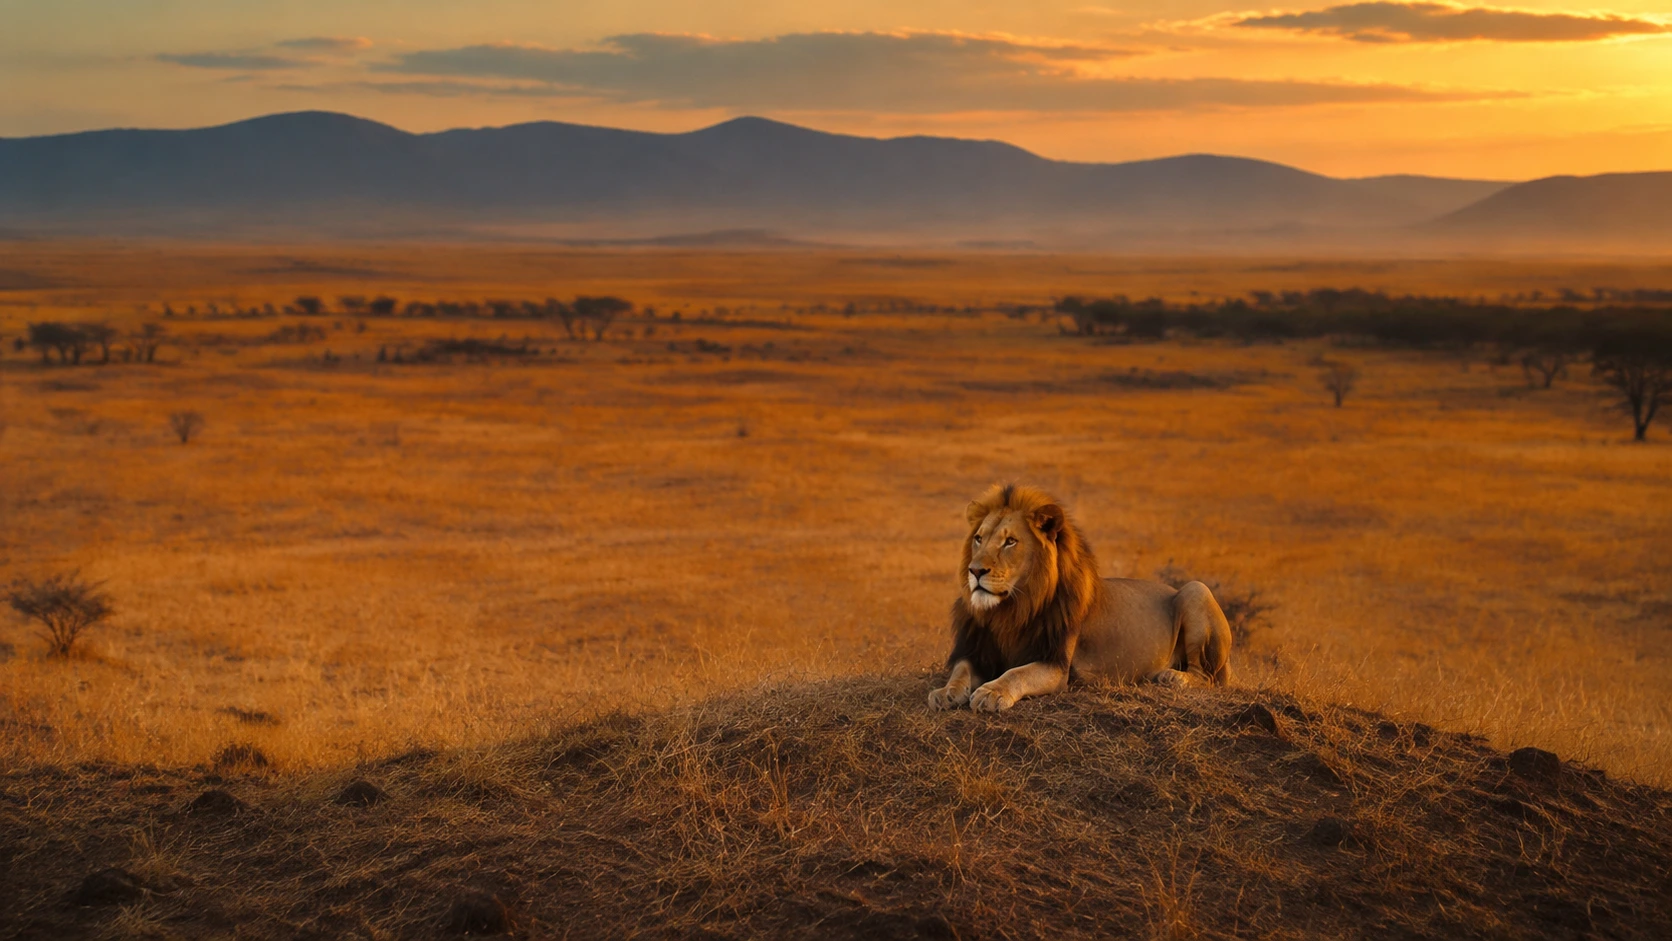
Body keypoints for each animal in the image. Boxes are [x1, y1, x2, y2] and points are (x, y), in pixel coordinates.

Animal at [928, 484, 1232, 712]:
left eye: (1010, 541)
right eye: (978, 538)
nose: (975, 570)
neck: (1012, 609)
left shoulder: (1056, 665)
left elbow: (1016, 673)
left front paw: (991, 692)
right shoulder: (977, 652)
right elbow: (961, 671)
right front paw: (945, 692)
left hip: (1196, 589)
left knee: (1207, 677)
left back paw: (1172, 676)